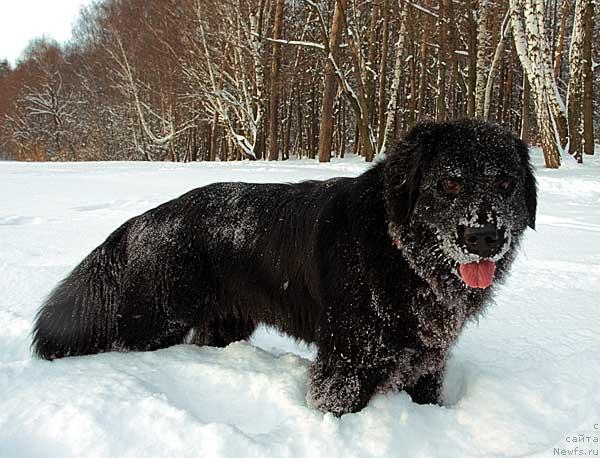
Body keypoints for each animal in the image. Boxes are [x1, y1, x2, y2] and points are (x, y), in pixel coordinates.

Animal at [32, 118, 540, 416]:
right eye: (449, 183)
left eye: (506, 183)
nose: (485, 237)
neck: (401, 255)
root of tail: (142, 219)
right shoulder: (347, 360)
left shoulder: (428, 357)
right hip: (155, 320)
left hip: (225, 322)